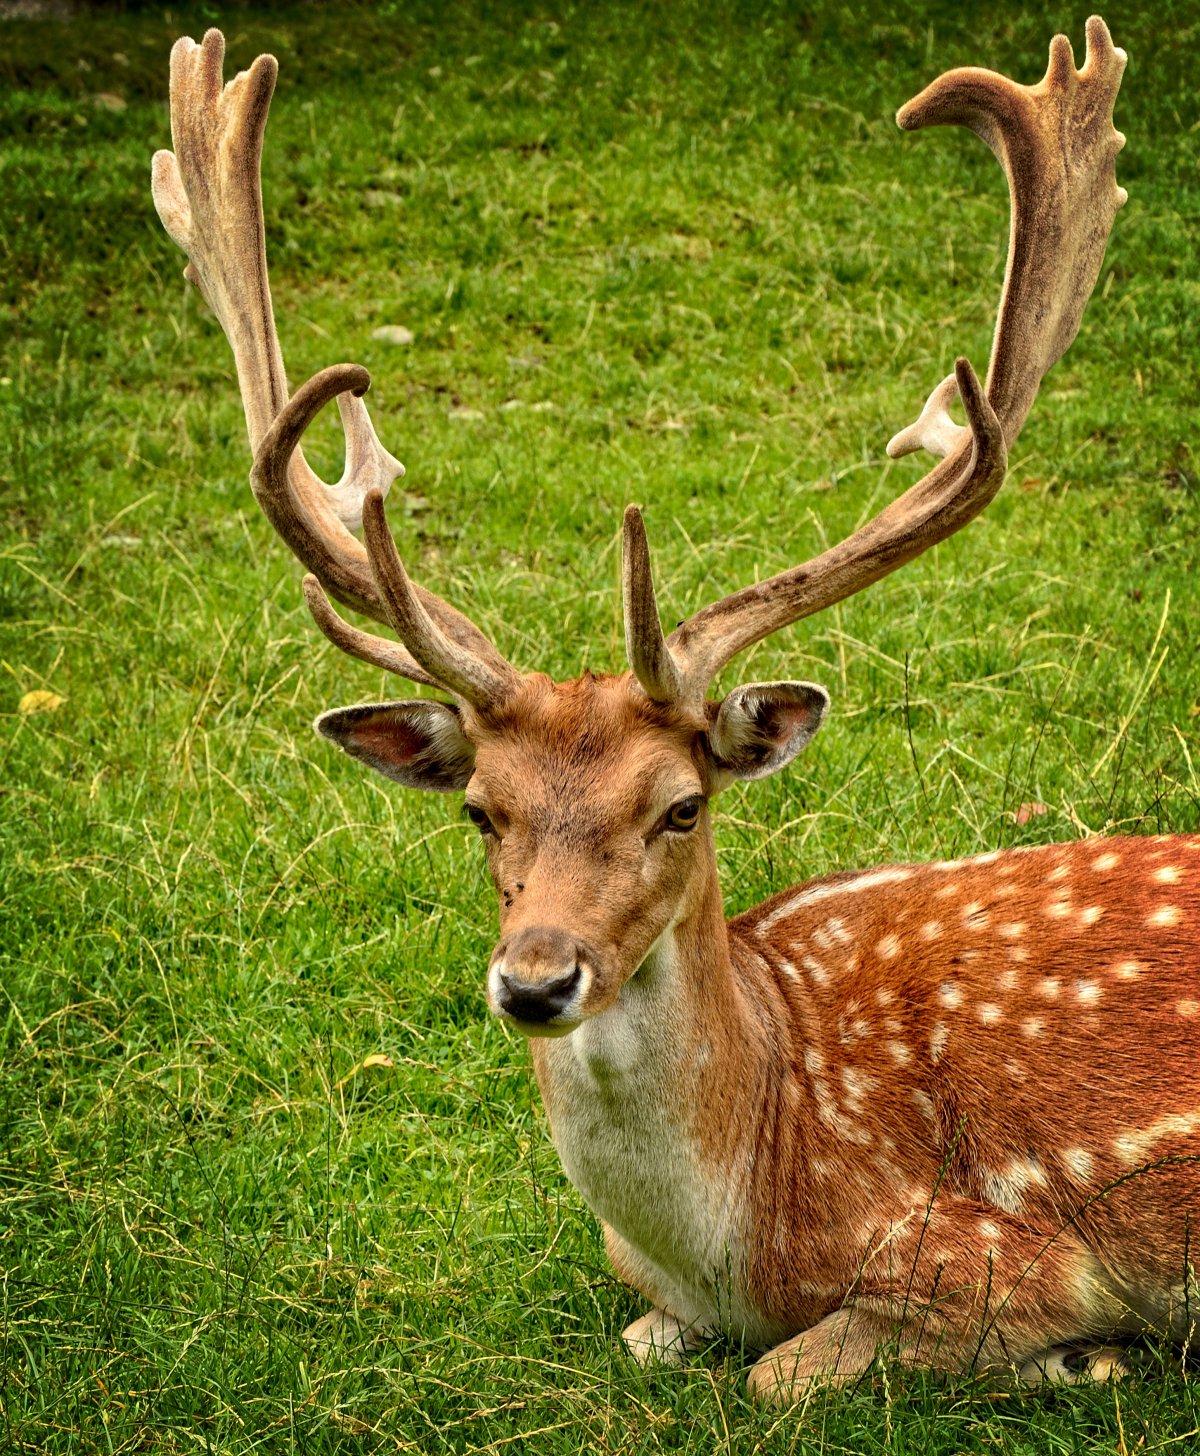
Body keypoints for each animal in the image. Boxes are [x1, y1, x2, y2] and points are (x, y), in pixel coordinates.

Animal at [152, 14, 1200, 1397]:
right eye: (480, 810)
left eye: (683, 806)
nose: (537, 977)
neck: (739, 1237)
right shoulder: (655, 1298)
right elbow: (652, 1341)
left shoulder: (1003, 1255)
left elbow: (779, 1374)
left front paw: (1085, 1359)